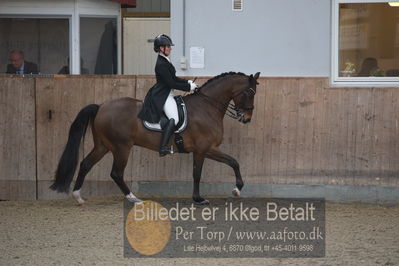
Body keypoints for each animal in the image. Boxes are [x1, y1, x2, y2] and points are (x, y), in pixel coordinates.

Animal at [50, 71, 260, 205]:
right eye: (249, 92)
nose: (247, 118)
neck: (206, 107)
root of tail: (101, 106)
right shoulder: (205, 149)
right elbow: (219, 166)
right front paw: (221, 193)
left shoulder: (203, 150)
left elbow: (217, 167)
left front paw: (223, 192)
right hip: (121, 147)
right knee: (116, 173)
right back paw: (133, 198)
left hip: (103, 145)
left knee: (86, 164)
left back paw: (78, 197)